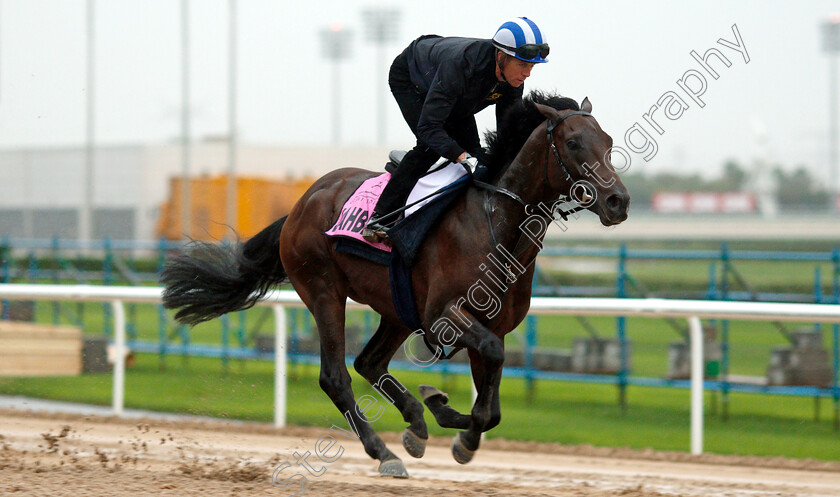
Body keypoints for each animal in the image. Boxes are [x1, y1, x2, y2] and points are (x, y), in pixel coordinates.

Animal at [159, 92, 632, 476]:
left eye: (608, 143)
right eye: (573, 143)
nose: (618, 201)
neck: (498, 222)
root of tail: (302, 202)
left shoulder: (490, 324)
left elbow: (492, 401)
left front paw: (443, 414)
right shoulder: (444, 314)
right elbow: (492, 370)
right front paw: (458, 433)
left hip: (396, 308)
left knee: (368, 362)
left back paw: (416, 422)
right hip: (324, 290)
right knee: (335, 376)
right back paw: (384, 452)